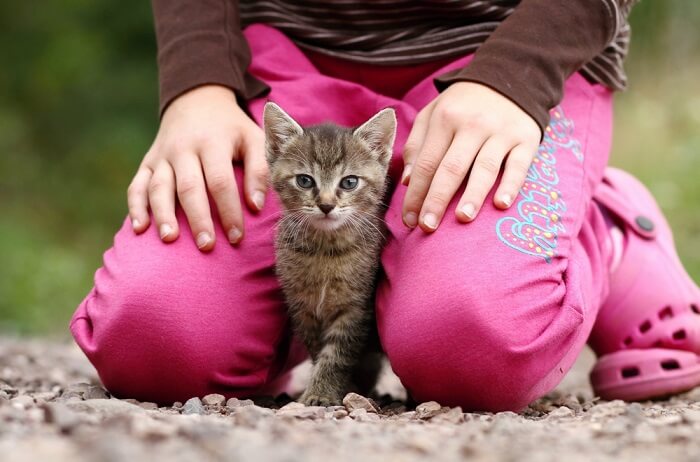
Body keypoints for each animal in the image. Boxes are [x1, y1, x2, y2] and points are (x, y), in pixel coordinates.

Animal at [264, 101, 396, 404]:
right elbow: (318, 351)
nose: (326, 205)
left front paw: (322, 392)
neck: (326, 251)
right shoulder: (303, 307)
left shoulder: (356, 308)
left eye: (349, 182)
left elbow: (337, 355)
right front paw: (333, 388)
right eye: (304, 180)